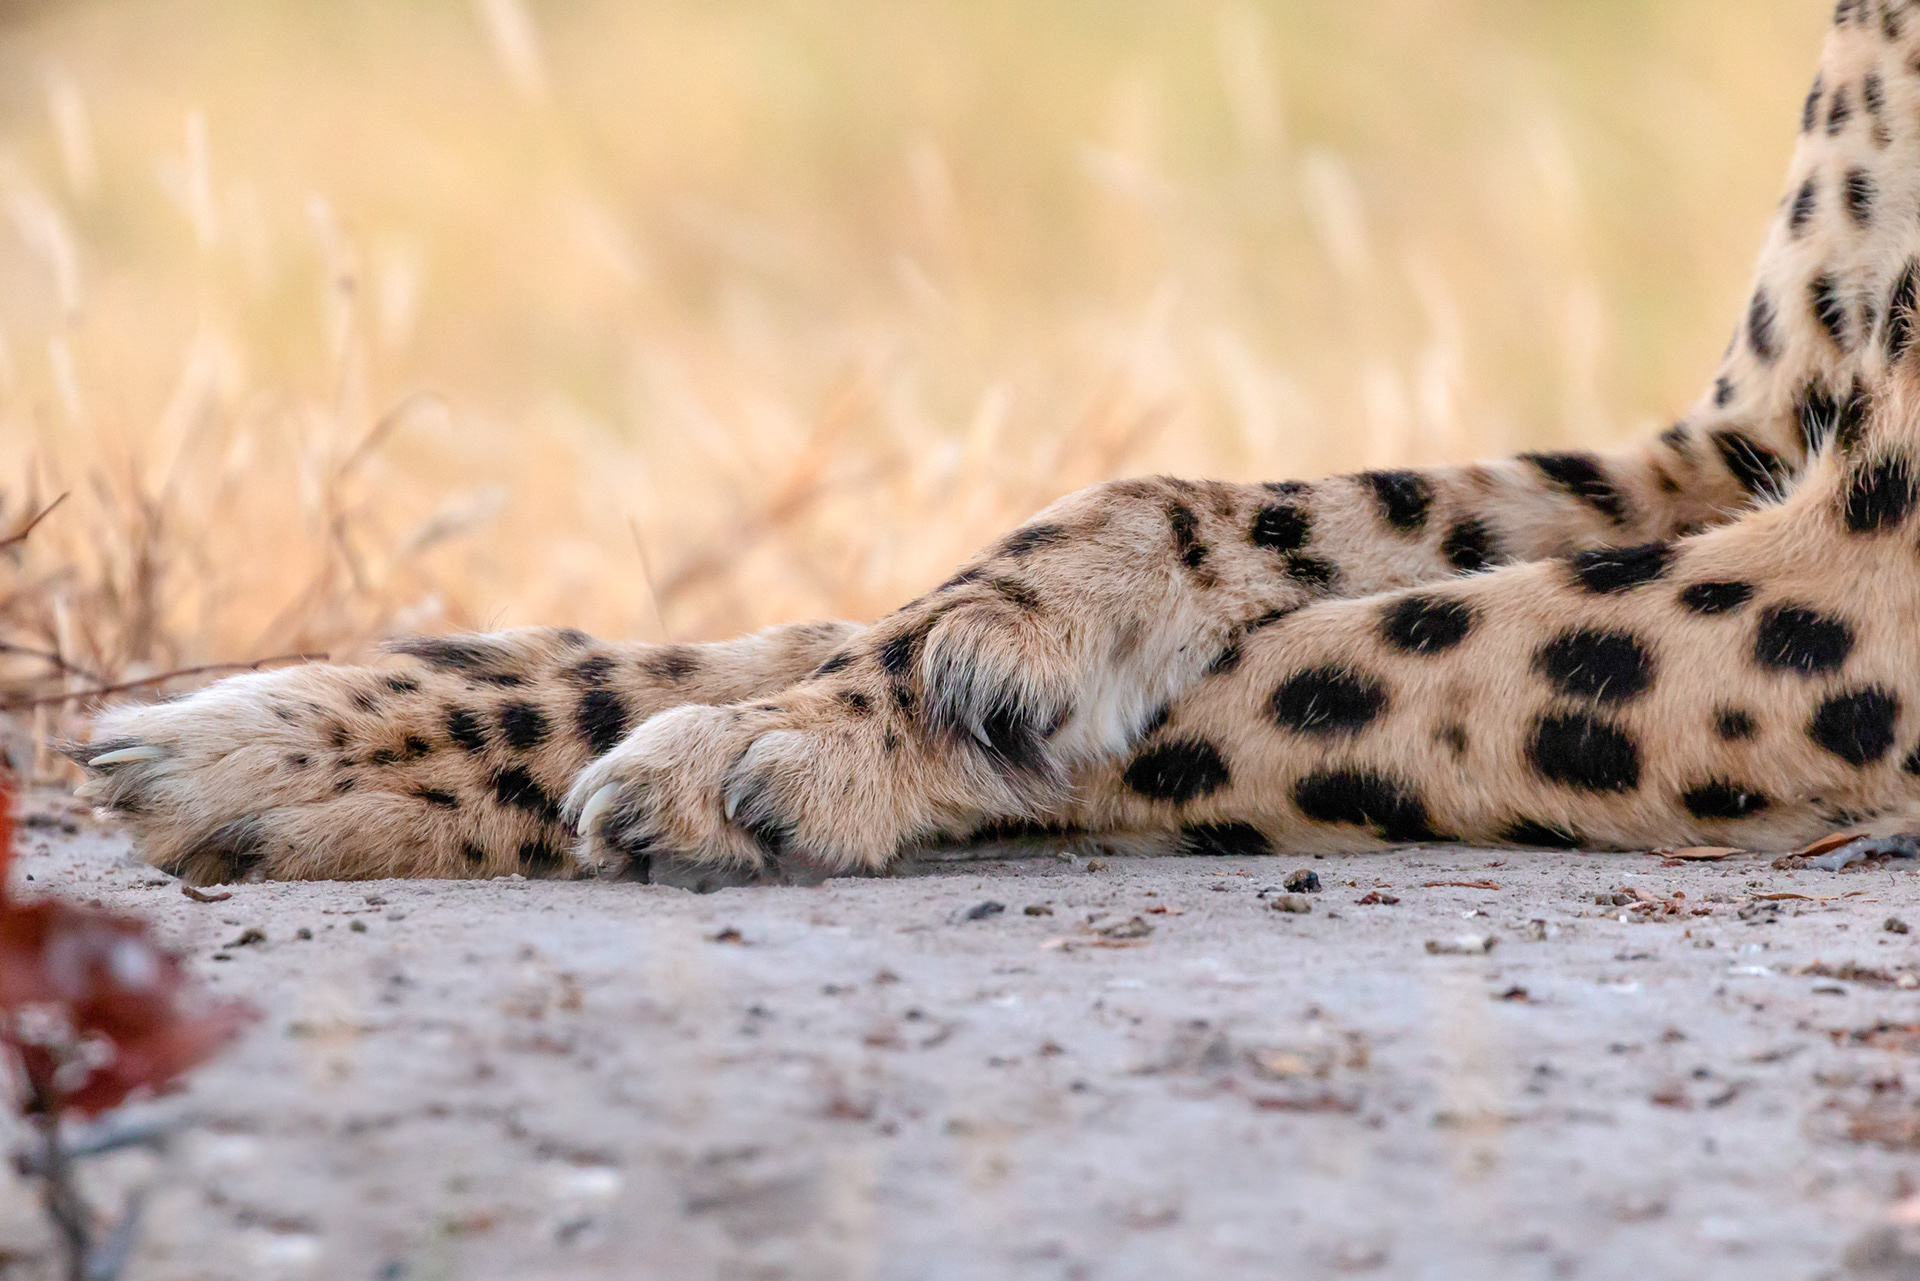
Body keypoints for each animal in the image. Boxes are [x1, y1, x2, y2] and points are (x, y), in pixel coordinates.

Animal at [69, 1, 1920, 888]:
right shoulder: (1742, 441)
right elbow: (1202, 525)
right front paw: (328, 740)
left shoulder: (1869, 564)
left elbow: (1315, 671)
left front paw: (801, 754)